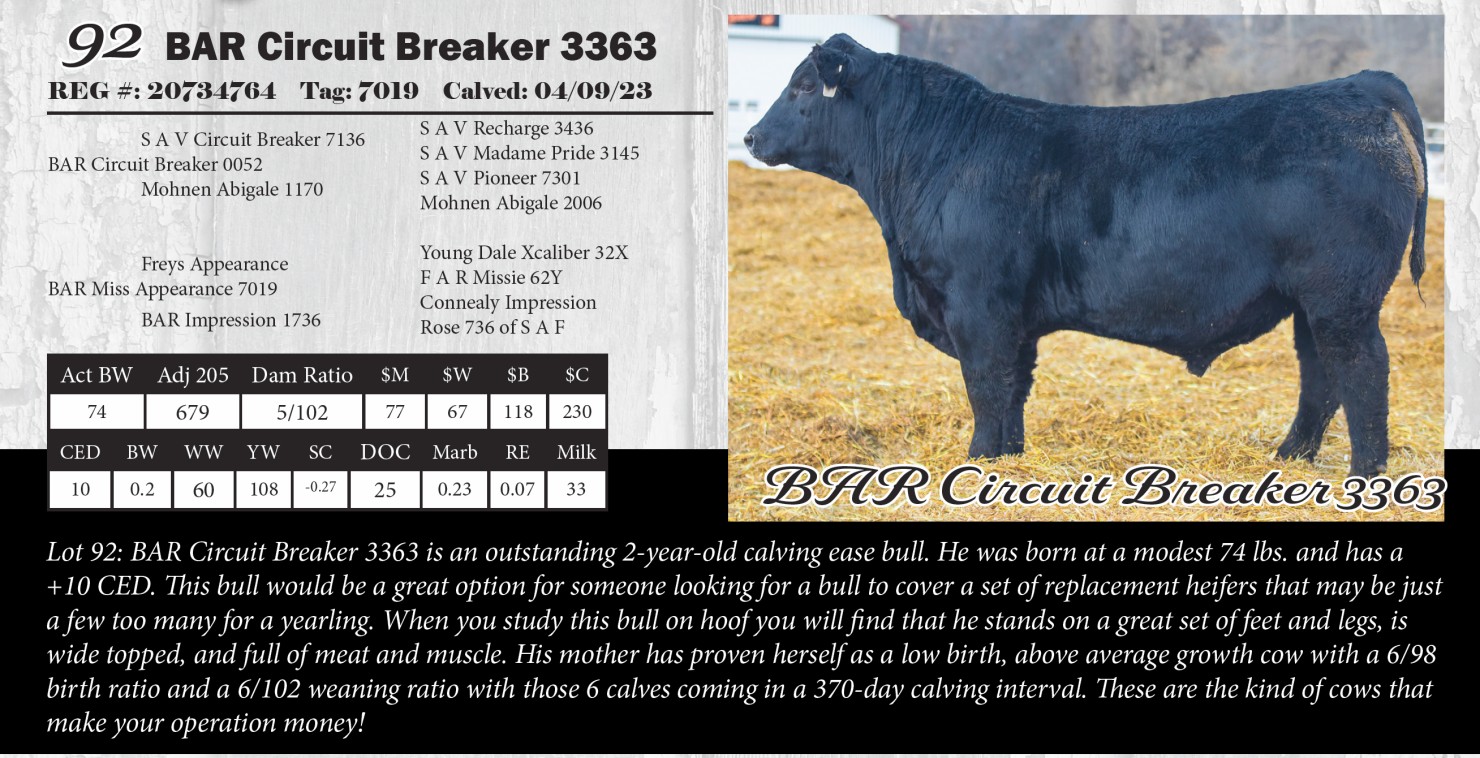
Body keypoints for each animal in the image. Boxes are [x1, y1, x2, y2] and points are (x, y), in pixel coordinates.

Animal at [744, 34, 1428, 477]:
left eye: (804, 85)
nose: (750, 136)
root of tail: (1359, 86)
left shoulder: (978, 306)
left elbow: (985, 384)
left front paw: (977, 459)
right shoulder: (1013, 317)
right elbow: (1013, 388)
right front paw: (1009, 458)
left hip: (1342, 299)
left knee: (1363, 372)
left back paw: (1365, 474)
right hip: (1313, 304)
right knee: (1321, 377)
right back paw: (1287, 460)